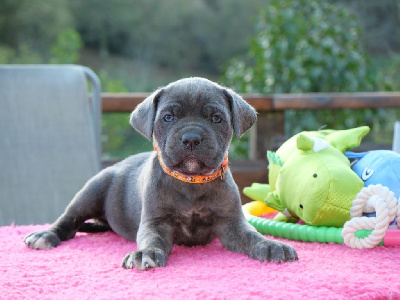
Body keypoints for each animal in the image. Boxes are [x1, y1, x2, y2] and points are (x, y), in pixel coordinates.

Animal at [23, 77, 296, 270]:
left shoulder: (232, 224)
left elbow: (251, 235)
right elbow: (152, 240)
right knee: (69, 221)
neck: (191, 181)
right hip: (90, 192)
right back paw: (46, 235)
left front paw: (270, 245)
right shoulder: (155, 222)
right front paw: (146, 254)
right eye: (167, 117)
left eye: (217, 118)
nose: (191, 138)